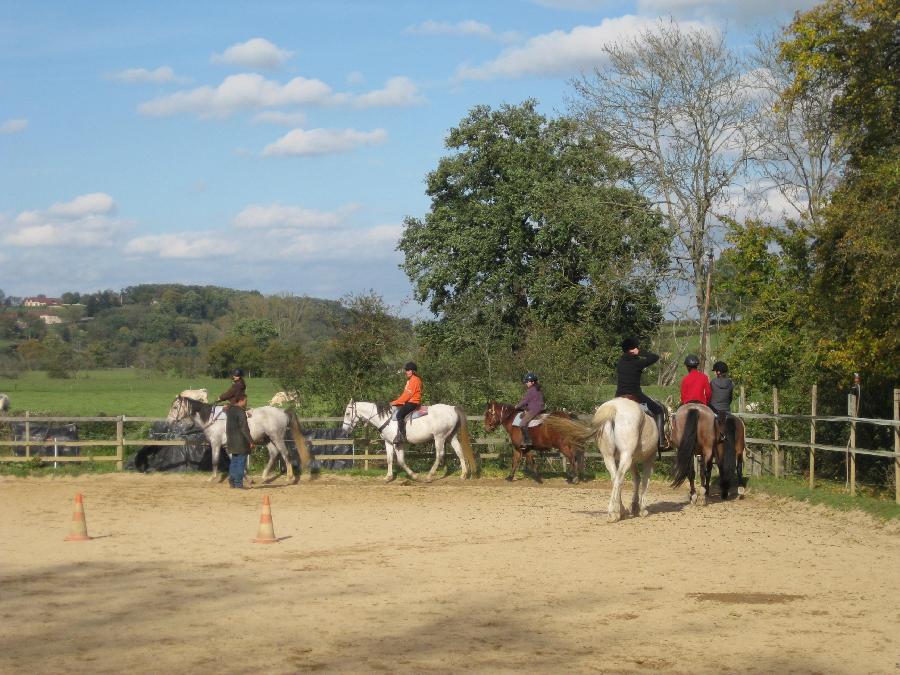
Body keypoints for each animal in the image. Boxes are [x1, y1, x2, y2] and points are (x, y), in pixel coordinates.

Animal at [167, 396, 312, 486]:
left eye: (175, 407)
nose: (169, 422)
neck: (211, 418)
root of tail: (282, 411)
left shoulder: (216, 443)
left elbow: (215, 461)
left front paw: (211, 478)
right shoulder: (228, 446)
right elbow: (235, 461)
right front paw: (248, 479)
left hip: (277, 437)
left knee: (285, 454)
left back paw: (289, 478)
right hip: (268, 439)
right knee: (274, 454)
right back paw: (264, 477)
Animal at [340, 402, 478, 480]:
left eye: (347, 413)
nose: (344, 430)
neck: (385, 418)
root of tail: (452, 408)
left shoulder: (398, 444)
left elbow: (401, 461)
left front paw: (414, 475)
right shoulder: (388, 443)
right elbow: (389, 459)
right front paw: (388, 477)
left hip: (439, 437)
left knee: (439, 455)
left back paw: (429, 476)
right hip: (451, 437)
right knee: (459, 452)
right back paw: (463, 474)